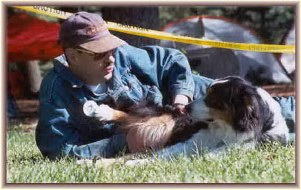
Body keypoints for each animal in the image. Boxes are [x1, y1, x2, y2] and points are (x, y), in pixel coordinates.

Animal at [82, 76, 288, 157]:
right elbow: (164, 154)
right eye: (206, 92)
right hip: (164, 122)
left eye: (213, 98)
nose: (185, 108)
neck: (224, 128)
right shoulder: (192, 140)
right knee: (133, 116)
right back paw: (99, 111)